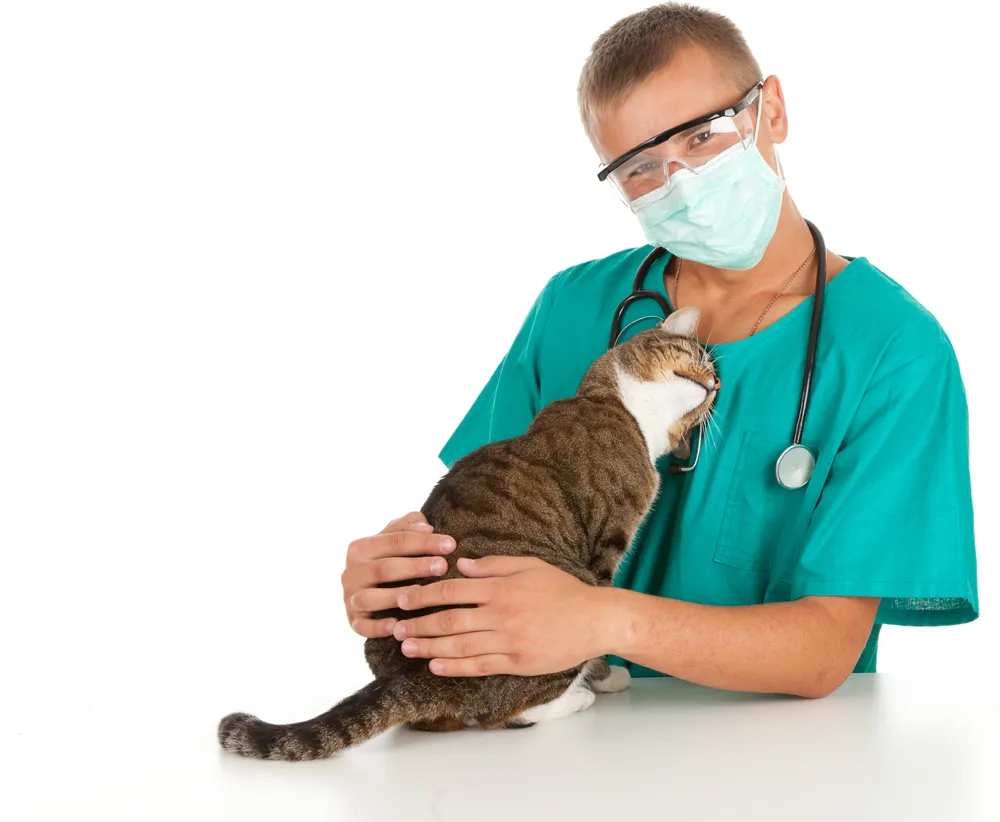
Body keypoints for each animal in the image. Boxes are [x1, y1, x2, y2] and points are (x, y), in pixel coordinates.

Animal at [221, 306, 720, 764]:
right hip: (567, 588)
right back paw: (574, 699)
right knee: (504, 715)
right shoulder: (603, 553)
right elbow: (596, 633)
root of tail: (414, 679)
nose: (715, 386)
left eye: (711, 396)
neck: (617, 405)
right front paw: (607, 677)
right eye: (697, 356)